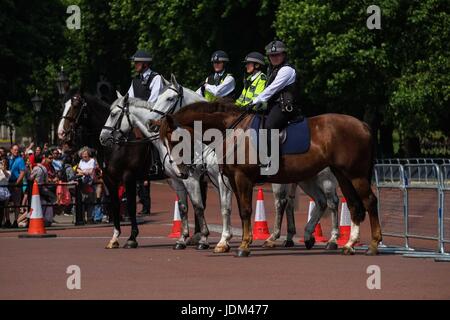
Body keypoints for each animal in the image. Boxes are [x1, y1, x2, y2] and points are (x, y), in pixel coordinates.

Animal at [155, 102, 380, 258]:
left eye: (175, 139)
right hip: (339, 176)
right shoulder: (232, 180)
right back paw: (346, 244)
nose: (181, 171)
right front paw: (230, 242)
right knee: (348, 204)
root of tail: (363, 125)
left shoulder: (241, 179)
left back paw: (371, 244)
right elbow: (236, 210)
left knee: (366, 201)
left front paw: (243, 245)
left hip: (353, 175)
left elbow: (244, 211)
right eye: (164, 142)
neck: (232, 131)